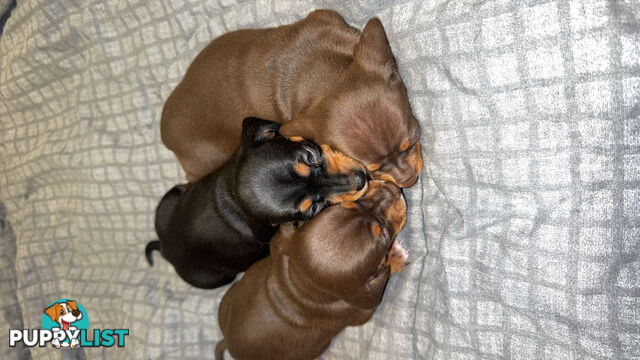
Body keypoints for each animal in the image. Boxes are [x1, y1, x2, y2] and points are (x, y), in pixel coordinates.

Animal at [144, 118, 364, 290]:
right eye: (314, 209)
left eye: (310, 155)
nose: (362, 180)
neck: (233, 194)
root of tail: (164, 247)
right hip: (214, 279)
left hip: (168, 200)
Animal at [214, 181, 404, 358]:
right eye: (384, 234)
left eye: (351, 203)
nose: (393, 188)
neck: (301, 282)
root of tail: (227, 341)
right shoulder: (361, 310)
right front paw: (395, 257)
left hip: (228, 298)